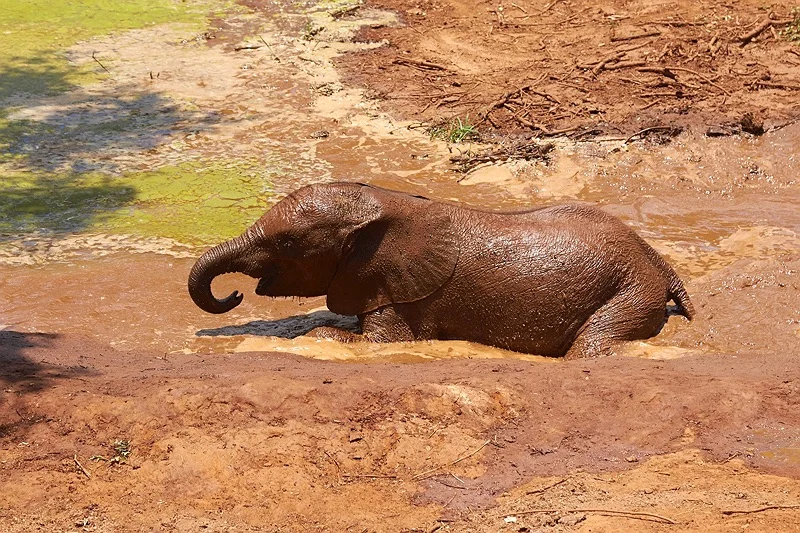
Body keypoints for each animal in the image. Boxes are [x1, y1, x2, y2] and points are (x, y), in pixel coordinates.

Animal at [188, 182, 694, 358]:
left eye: (287, 242)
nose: (233, 295)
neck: (383, 203)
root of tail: (658, 260)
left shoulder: (406, 293)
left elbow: (380, 342)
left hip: (630, 290)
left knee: (590, 347)